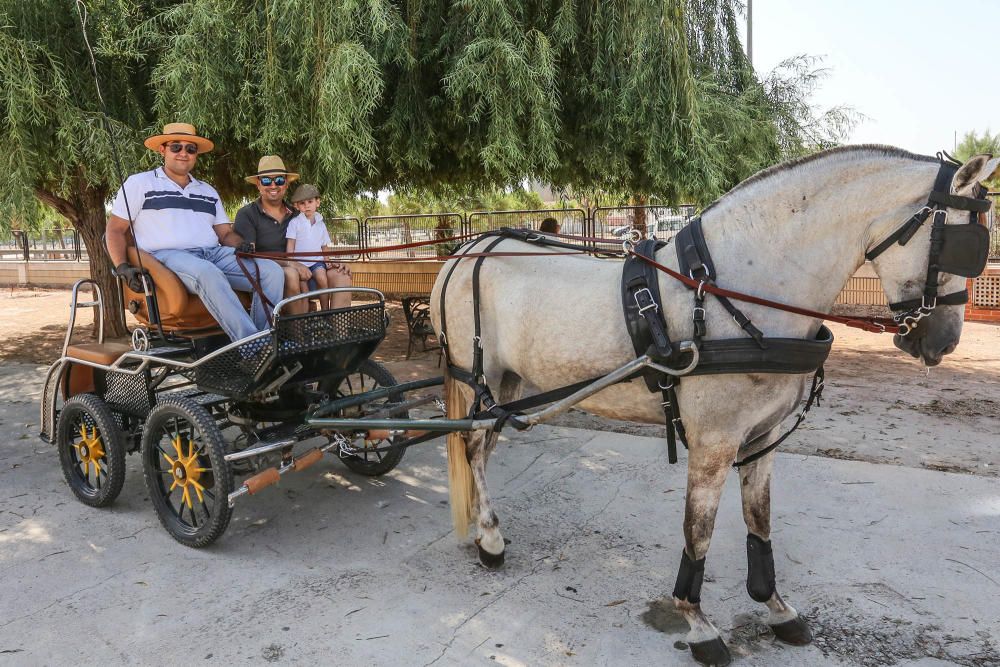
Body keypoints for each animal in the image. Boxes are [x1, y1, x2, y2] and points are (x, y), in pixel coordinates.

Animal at [428, 147, 992, 667]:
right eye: (960, 243)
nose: (944, 340)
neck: (737, 289)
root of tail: (467, 250)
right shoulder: (714, 444)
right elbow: (698, 531)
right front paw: (698, 622)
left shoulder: (763, 437)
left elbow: (758, 520)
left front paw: (775, 607)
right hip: (482, 378)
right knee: (473, 447)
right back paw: (490, 539)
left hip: (509, 385)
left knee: (484, 446)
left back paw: (485, 525)